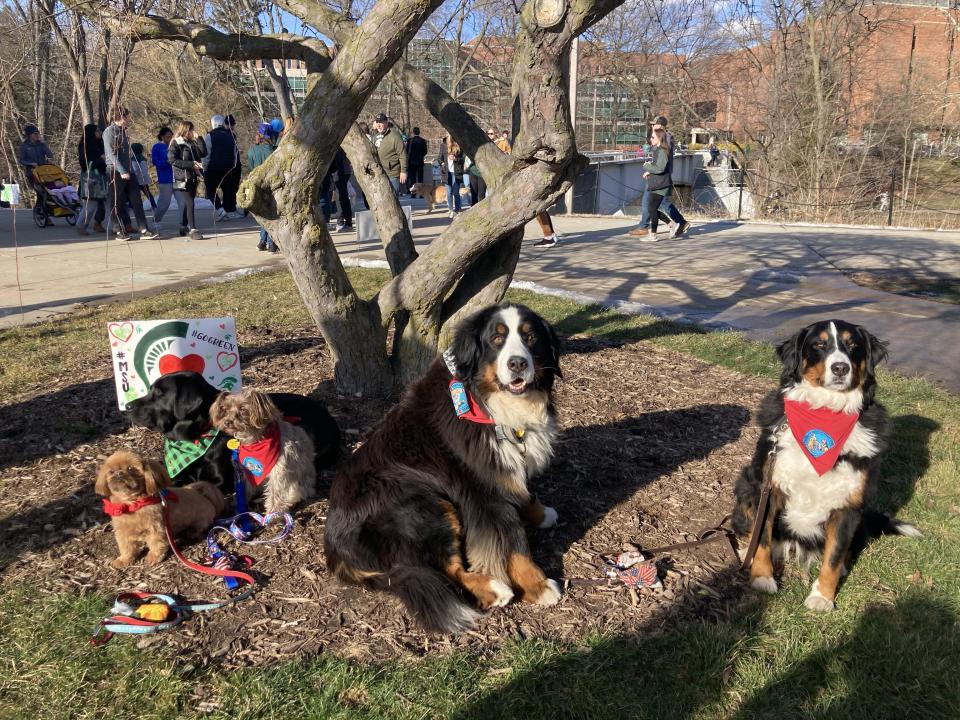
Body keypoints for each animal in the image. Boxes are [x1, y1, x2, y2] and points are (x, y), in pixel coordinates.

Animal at [97, 450, 225, 568]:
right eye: (111, 472)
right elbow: (127, 548)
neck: (132, 504)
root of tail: (202, 494)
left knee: (201, 526)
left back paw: (192, 532)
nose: (119, 473)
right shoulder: (124, 534)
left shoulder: (155, 529)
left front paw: (153, 557)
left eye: (130, 468)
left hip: (201, 520)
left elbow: (156, 545)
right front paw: (124, 560)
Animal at [322, 300, 564, 632]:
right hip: (422, 505)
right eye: (496, 339)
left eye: (530, 337)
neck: (488, 402)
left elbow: (522, 493)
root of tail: (334, 547)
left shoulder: (502, 468)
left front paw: (540, 513)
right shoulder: (482, 491)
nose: (517, 364)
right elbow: (513, 543)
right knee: (445, 567)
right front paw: (538, 585)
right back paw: (493, 589)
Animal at [736, 320, 924, 612]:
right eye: (819, 344)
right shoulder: (768, 488)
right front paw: (762, 578)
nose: (840, 368)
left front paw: (823, 597)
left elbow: (833, 556)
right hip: (746, 483)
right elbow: (763, 537)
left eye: (852, 344)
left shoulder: (848, 505)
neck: (825, 412)